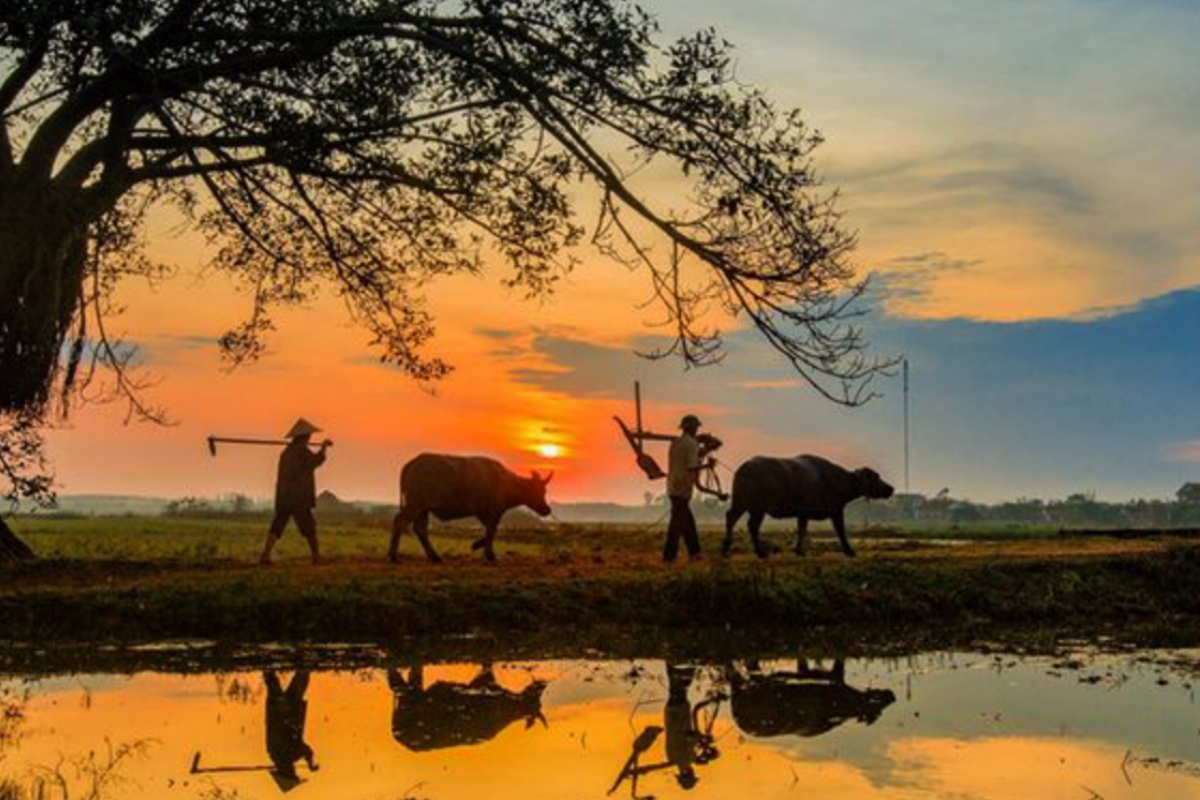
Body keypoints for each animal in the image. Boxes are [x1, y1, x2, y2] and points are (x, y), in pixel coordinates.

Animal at [388, 453, 552, 566]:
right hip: (415, 505)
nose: (547, 509)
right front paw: (489, 554)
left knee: (420, 529)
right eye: (538, 491)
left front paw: (478, 546)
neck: (507, 482)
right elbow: (492, 531)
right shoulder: (493, 510)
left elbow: (490, 531)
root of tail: (412, 463)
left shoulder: (484, 512)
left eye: (544, 491)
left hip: (422, 509)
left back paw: (435, 557)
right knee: (400, 521)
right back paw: (393, 556)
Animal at [388, 662, 549, 753]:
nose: (541, 682)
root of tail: (397, 734)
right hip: (410, 698)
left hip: (411, 697)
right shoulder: (483, 682)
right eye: (535, 702)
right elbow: (487, 663)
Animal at [720, 453, 892, 561]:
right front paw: (850, 551)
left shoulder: (803, 513)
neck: (838, 480)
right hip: (754, 506)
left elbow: (801, 530)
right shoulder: (836, 510)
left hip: (747, 505)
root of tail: (743, 468)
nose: (890, 488)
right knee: (742, 522)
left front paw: (798, 550)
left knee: (740, 521)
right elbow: (840, 531)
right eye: (875, 477)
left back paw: (739, 550)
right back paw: (750, 552)